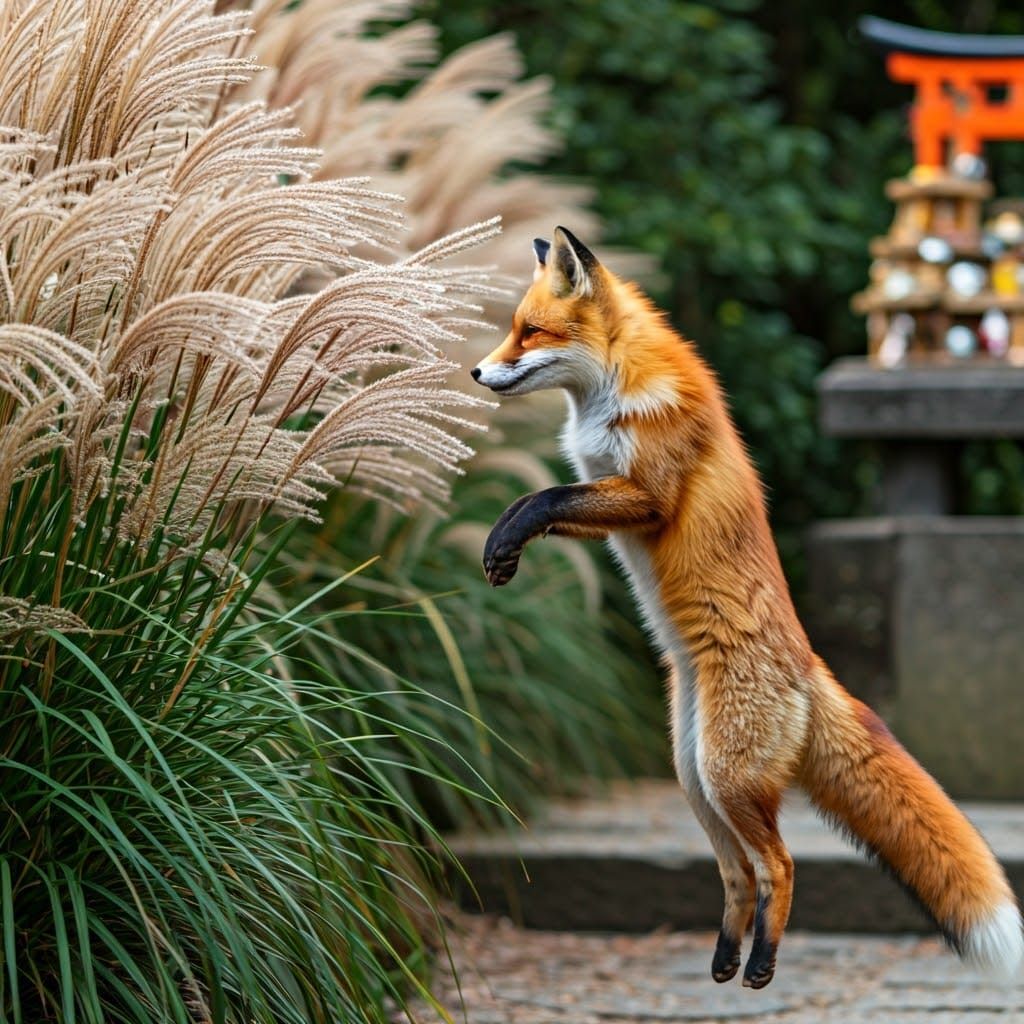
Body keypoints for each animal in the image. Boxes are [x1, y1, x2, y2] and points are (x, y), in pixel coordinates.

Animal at [470, 226, 1024, 989]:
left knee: (780, 865)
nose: (476, 372)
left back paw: (761, 961)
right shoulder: (604, 489)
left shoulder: (647, 495)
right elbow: (545, 500)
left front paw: (504, 541)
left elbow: (541, 498)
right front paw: (501, 544)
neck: (609, 393)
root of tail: (810, 667)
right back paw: (727, 957)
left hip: (726, 778)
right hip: (696, 777)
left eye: (530, 332)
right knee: (737, 874)